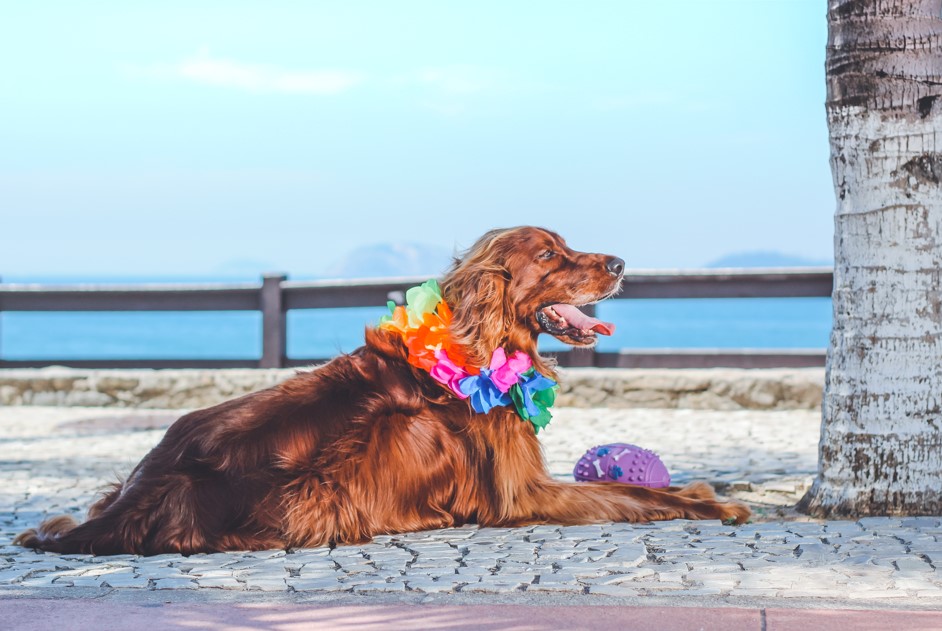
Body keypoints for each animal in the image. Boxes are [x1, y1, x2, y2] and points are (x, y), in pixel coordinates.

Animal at [16, 227, 752, 552]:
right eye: (549, 256)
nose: (621, 263)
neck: (477, 348)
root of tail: (148, 484)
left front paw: (715, 486)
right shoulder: (523, 494)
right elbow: (635, 496)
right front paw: (711, 502)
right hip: (343, 469)